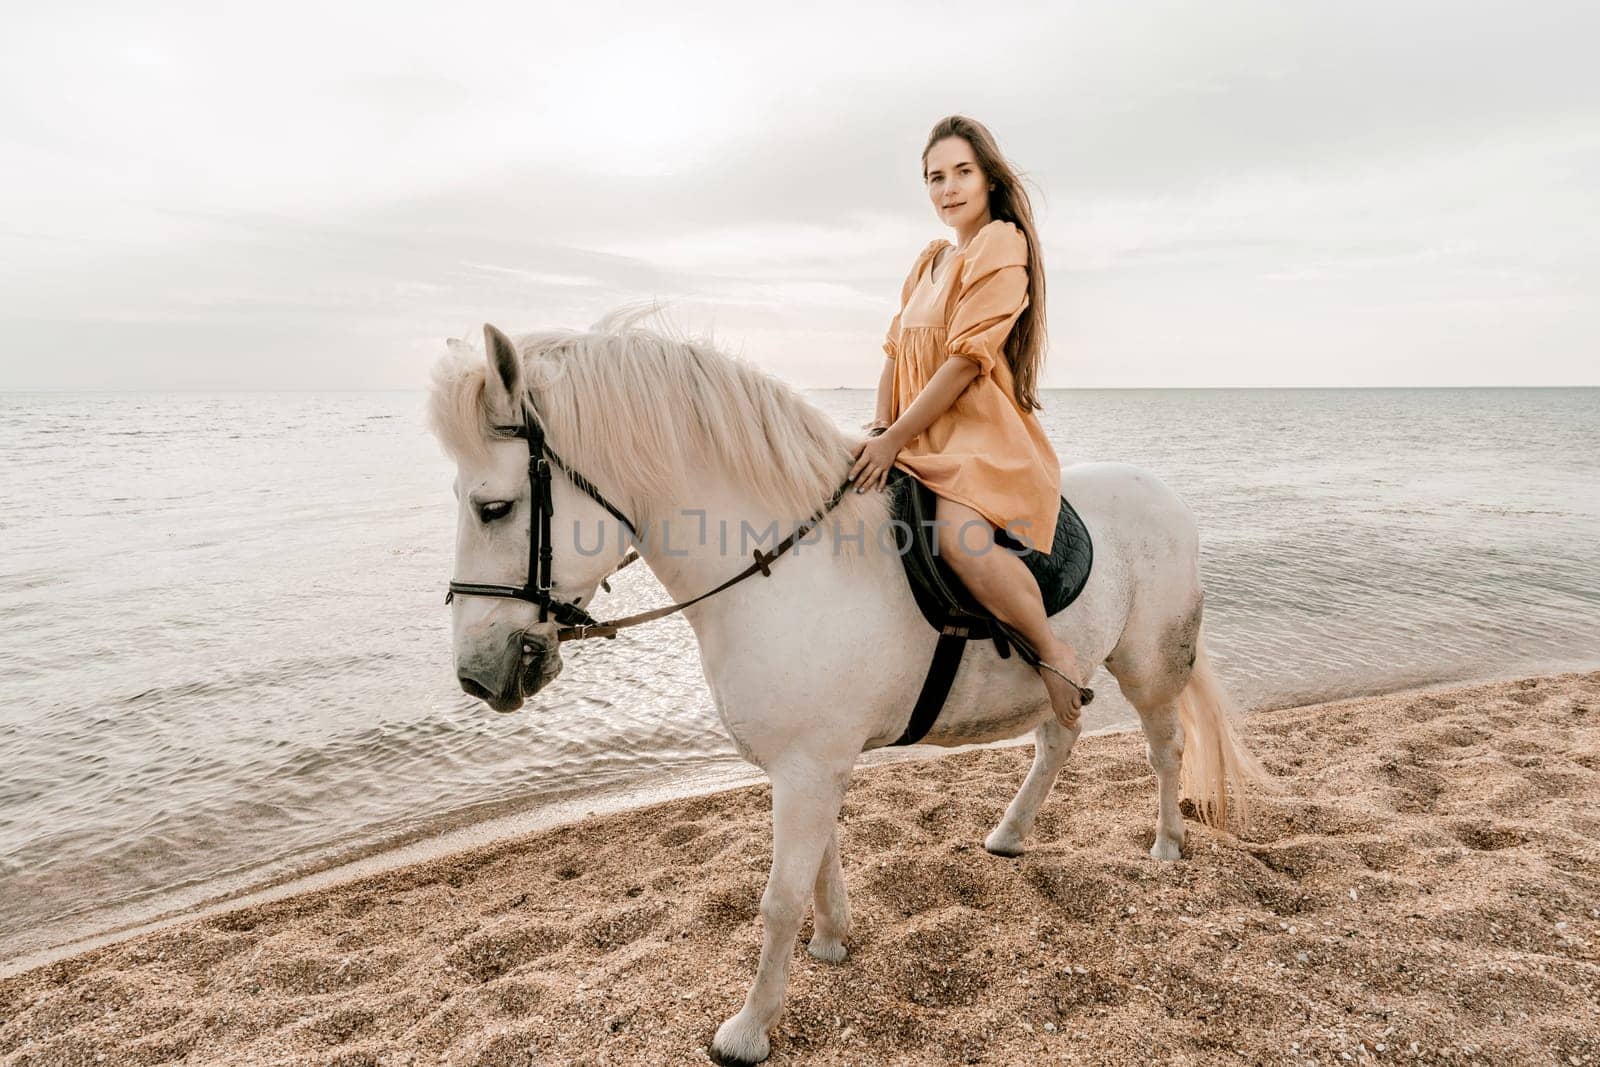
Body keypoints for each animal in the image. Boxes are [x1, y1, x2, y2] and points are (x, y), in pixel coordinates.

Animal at [428, 308, 1273, 1067]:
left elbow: (778, 898)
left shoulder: (807, 767)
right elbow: (821, 865)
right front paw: (833, 940)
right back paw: (1009, 833)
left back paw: (1167, 843)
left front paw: (749, 1029)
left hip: (1149, 664)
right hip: (1059, 677)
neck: (784, 566)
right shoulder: (812, 763)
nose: (476, 671)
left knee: (1165, 747)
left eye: (494, 507)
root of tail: (1165, 495)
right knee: (1060, 735)